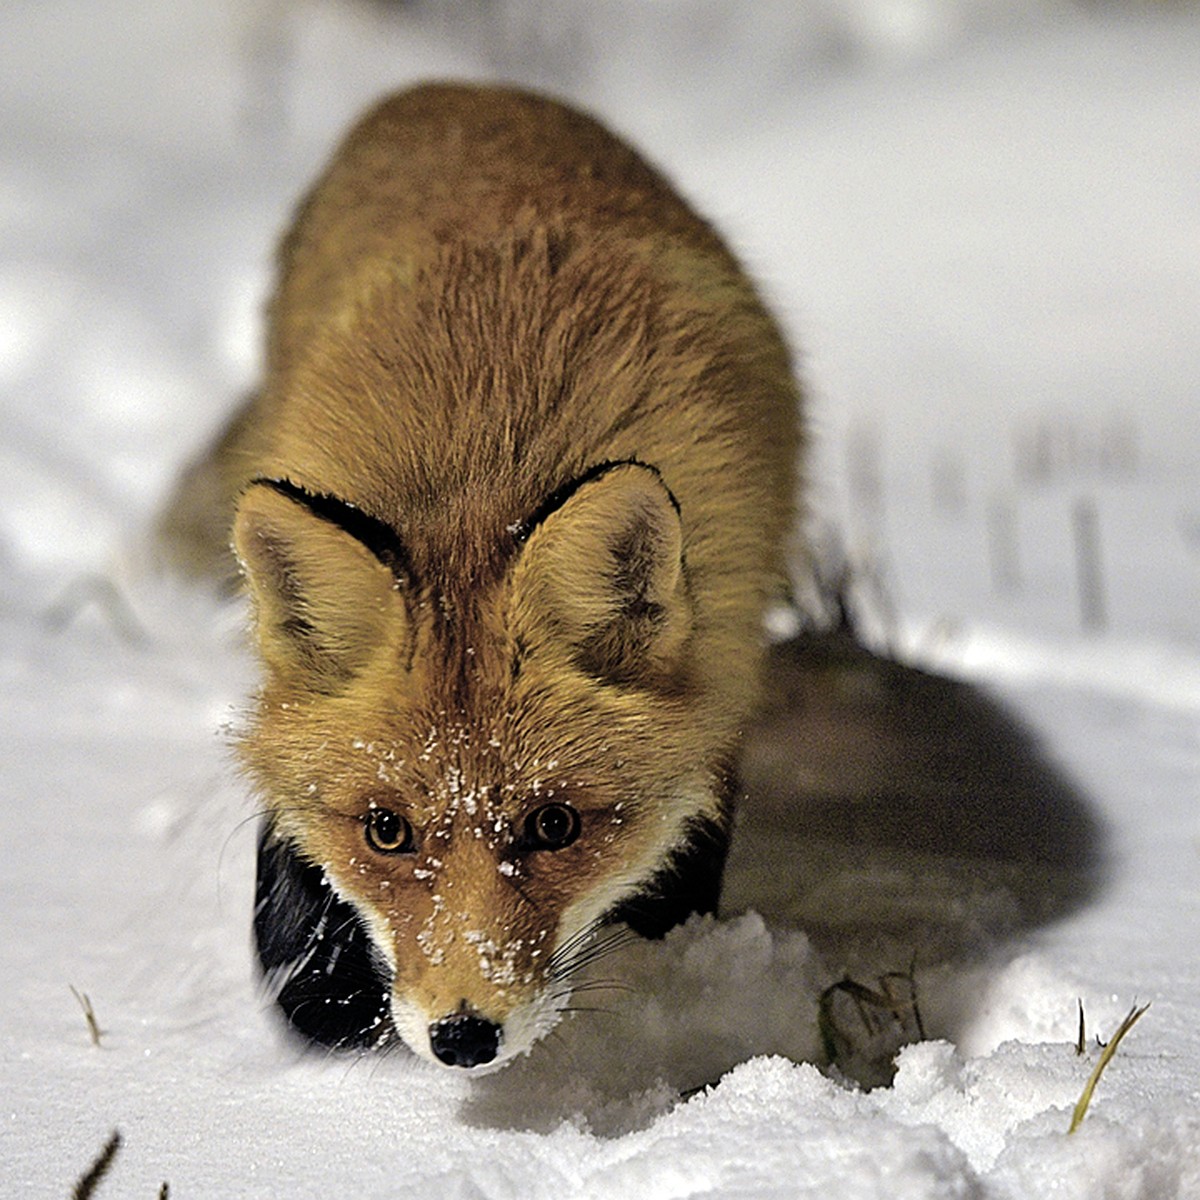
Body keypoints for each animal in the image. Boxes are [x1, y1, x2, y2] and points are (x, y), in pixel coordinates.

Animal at [159, 84, 796, 1070]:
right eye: (387, 830)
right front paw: (321, 990)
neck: (488, 462)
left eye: (554, 825)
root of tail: (444, 89)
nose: (463, 1036)